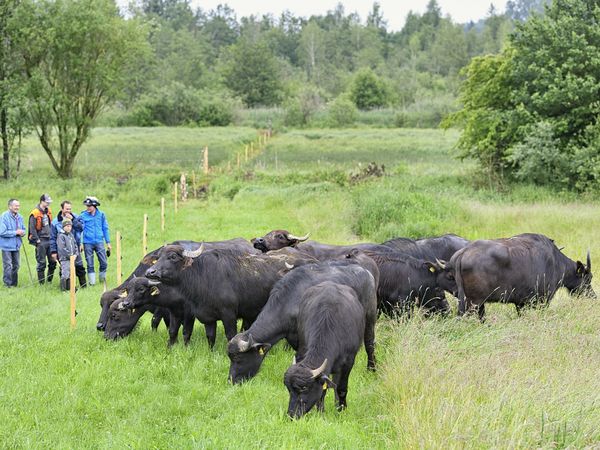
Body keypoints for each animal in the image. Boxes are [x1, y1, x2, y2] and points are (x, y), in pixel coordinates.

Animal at [227, 258, 378, 384]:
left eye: (238, 358)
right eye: (230, 357)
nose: (231, 380)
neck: (288, 301)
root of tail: (367, 273)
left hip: (370, 318)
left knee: (370, 344)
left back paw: (371, 369)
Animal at [284, 282, 368, 418]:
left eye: (304, 389)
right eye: (289, 390)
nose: (292, 415)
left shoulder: (348, 362)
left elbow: (341, 388)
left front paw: (341, 409)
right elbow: (323, 392)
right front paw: (320, 412)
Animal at [450, 232, 596, 320]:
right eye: (588, 278)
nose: (593, 296)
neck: (556, 262)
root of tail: (463, 252)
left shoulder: (520, 303)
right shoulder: (544, 300)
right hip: (473, 303)